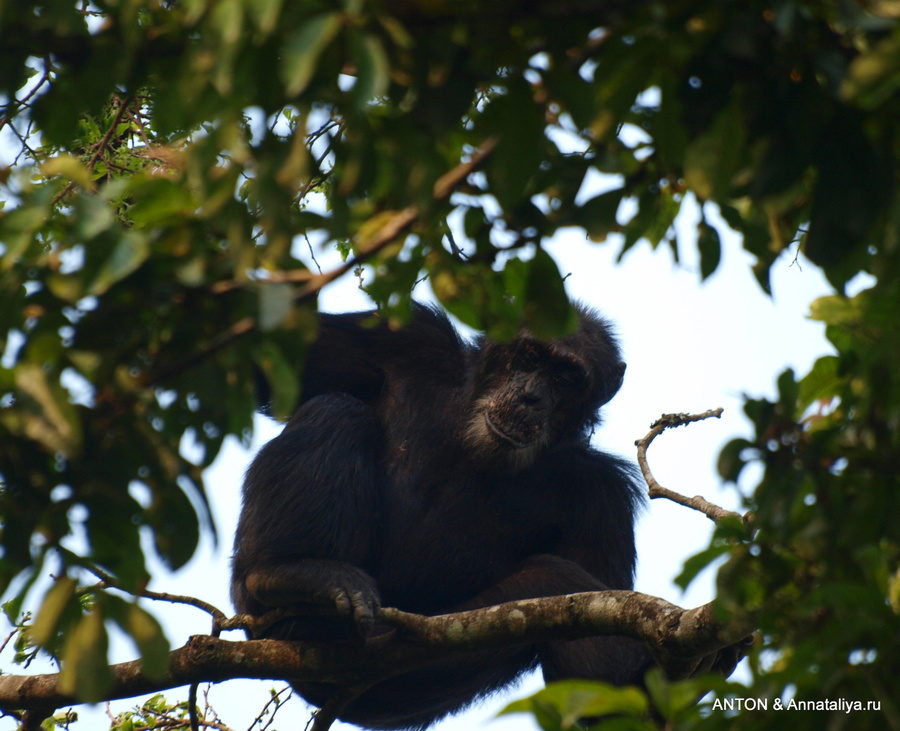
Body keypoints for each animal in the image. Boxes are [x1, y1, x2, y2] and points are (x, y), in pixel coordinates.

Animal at [232, 302, 744, 728]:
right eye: (530, 358)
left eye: (565, 378)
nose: (531, 396)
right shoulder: (403, 339)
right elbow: (259, 356)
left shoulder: (602, 500)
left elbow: (602, 694)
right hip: (262, 616)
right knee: (338, 409)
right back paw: (293, 572)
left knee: (552, 581)